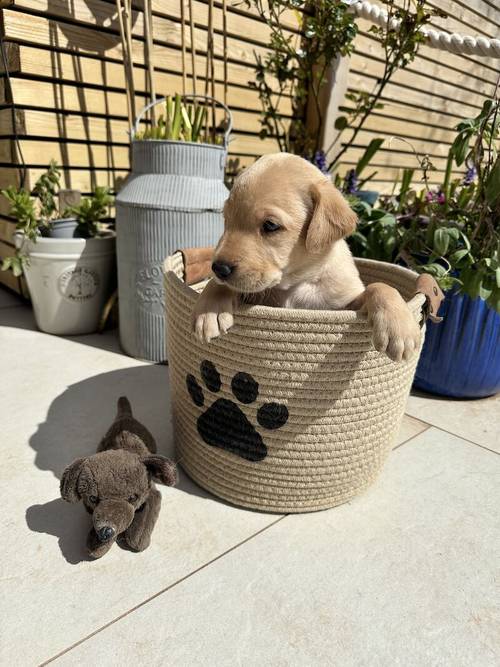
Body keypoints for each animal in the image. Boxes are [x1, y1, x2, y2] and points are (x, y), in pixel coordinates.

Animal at [193, 154, 420, 362]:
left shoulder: (344, 305)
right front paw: (210, 309)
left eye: (270, 225)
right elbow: (218, 285)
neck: (296, 283)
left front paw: (400, 328)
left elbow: (379, 287)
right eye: (226, 219)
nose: (219, 268)